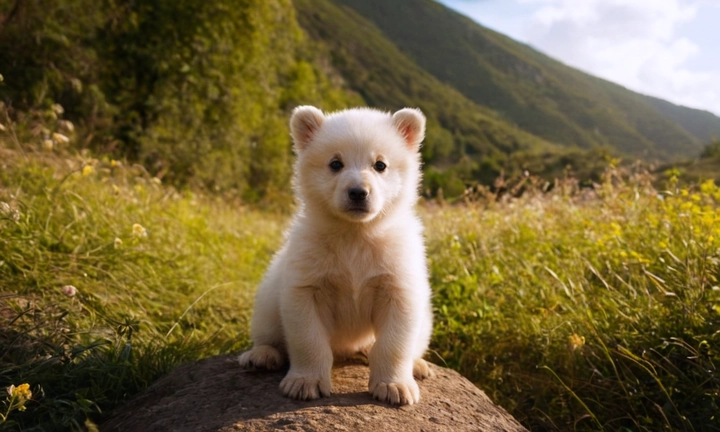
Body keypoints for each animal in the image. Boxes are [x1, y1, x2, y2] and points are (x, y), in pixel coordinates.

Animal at [240, 104, 434, 404]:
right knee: (267, 323)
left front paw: (395, 387)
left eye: (380, 164)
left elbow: (396, 335)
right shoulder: (308, 268)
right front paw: (304, 383)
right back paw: (261, 355)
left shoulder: (396, 269)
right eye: (335, 163)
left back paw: (418, 365)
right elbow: (306, 331)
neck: (354, 233)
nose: (358, 192)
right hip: (269, 293)